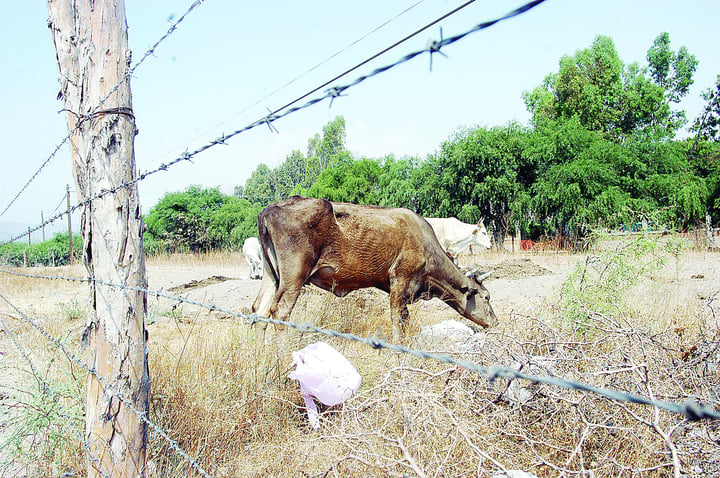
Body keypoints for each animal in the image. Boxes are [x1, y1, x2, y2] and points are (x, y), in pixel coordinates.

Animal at [252, 196, 496, 342]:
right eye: (486, 297)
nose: (495, 321)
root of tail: (269, 209)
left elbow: (404, 318)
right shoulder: (399, 279)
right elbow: (396, 319)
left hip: (271, 274)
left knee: (259, 310)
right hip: (295, 274)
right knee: (280, 311)